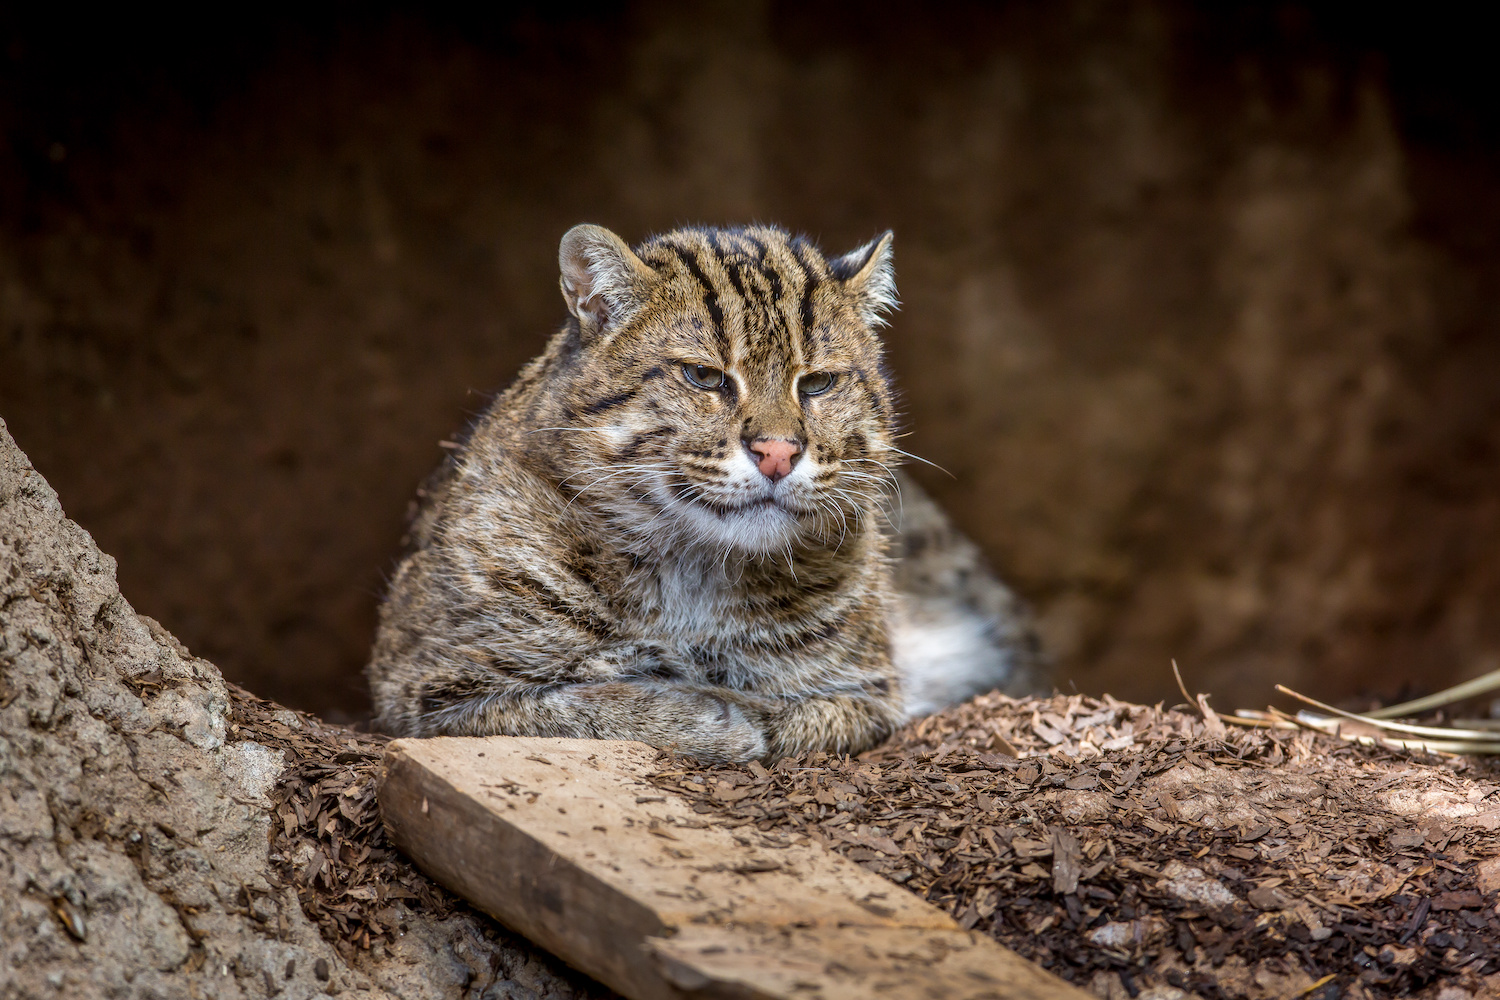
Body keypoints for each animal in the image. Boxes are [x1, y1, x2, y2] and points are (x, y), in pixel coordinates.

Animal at [369, 224, 1038, 758]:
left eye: (818, 384)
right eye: (704, 377)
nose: (778, 453)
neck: (692, 570)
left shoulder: (868, 686)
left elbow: (807, 715)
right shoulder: (427, 687)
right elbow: (574, 707)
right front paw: (706, 712)